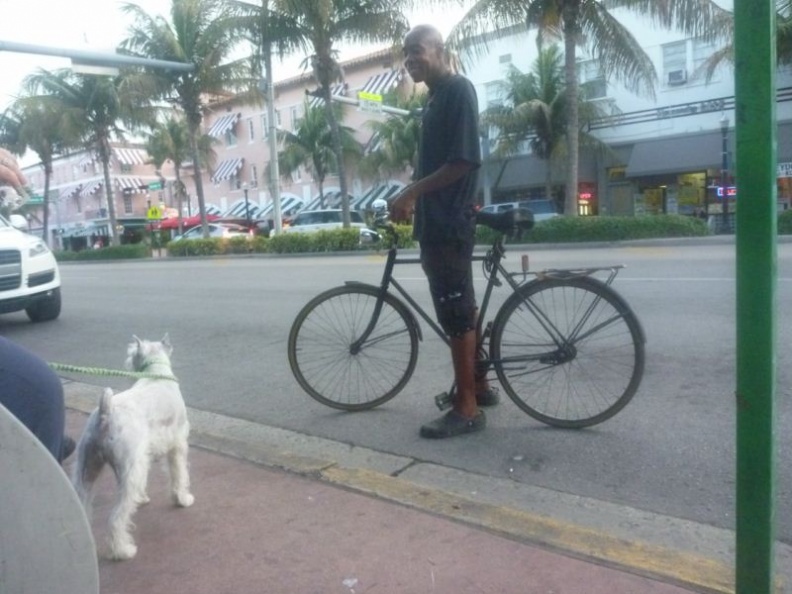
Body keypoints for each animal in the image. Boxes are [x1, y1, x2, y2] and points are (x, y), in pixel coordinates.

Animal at [71, 336, 195, 556]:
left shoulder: (143, 458)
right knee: (115, 518)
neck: (156, 374)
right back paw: (123, 550)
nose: (127, 363)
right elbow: (179, 475)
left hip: (87, 468)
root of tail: (105, 413)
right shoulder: (177, 446)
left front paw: (143, 497)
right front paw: (182, 499)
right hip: (128, 473)